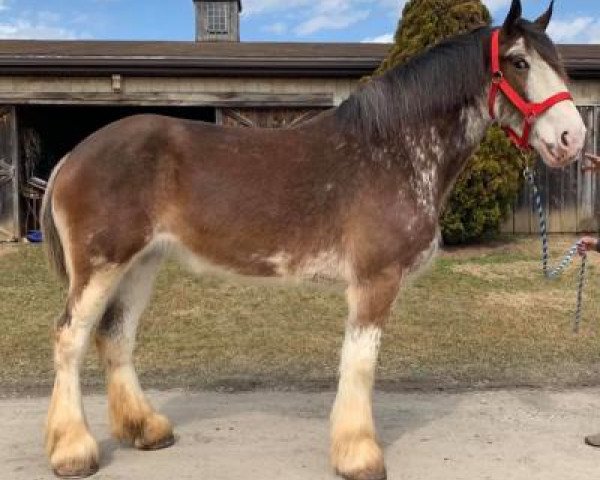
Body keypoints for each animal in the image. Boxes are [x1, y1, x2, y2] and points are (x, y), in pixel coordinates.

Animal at [42, 1, 584, 478]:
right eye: (519, 62)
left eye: (558, 64)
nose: (573, 139)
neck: (395, 151)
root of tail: (73, 156)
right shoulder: (375, 280)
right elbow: (360, 364)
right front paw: (359, 456)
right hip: (102, 265)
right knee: (71, 337)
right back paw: (73, 452)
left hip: (141, 263)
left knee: (116, 336)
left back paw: (146, 429)